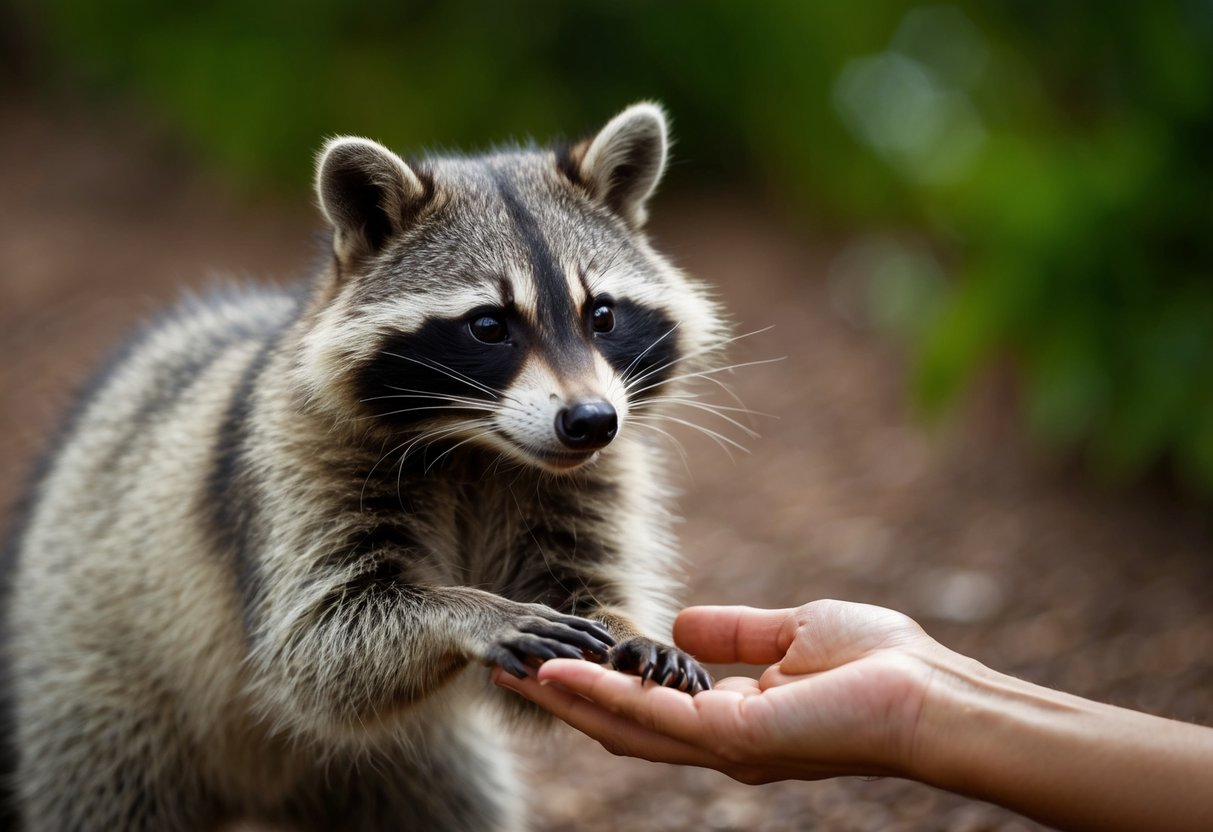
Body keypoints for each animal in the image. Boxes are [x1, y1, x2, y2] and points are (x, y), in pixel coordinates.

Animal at [0, 103, 729, 830]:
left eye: (601, 314)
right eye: (488, 326)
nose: (592, 422)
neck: (479, 447)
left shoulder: (584, 477)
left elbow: (574, 584)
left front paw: (627, 625)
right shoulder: (290, 465)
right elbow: (317, 639)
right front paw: (468, 611)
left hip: (407, 766)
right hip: (101, 693)